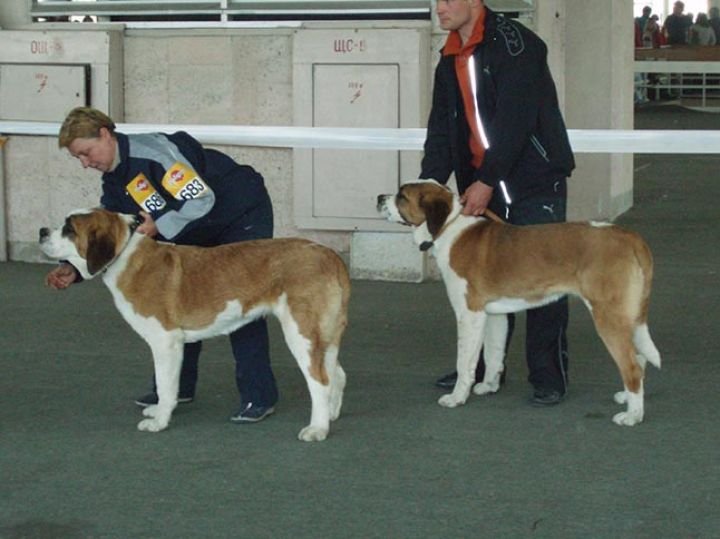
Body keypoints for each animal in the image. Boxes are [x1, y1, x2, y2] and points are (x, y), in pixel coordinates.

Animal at [377, 180, 661, 426]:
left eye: (402, 195)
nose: (379, 198)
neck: (450, 227)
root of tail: (630, 237)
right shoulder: (493, 315)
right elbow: (493, 353)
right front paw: (489, 386)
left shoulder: (470, 313)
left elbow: (465, 361)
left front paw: (457, 397)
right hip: (628, 317)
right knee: (639, 357)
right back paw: (627, 398)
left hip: (608, 316)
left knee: (632, 366)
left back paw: (633, 416)